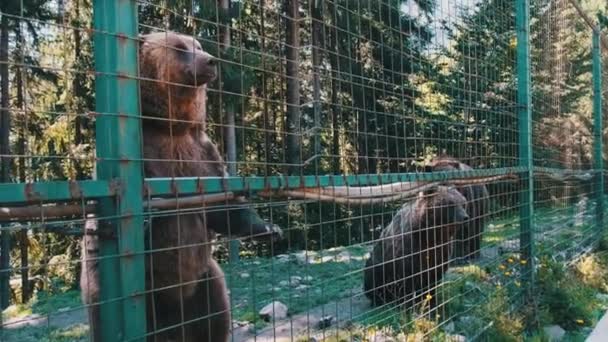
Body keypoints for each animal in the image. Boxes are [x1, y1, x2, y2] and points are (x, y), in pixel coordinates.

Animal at [81, 32, 280, 342]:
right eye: (180, 48)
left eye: (198, 46)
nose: (210, 60)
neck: (170, 126)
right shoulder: (143, 151)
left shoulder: (202, 152)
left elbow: (223, 204)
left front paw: (270, 229)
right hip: (109, 286)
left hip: (204, 282)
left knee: (216, 314)